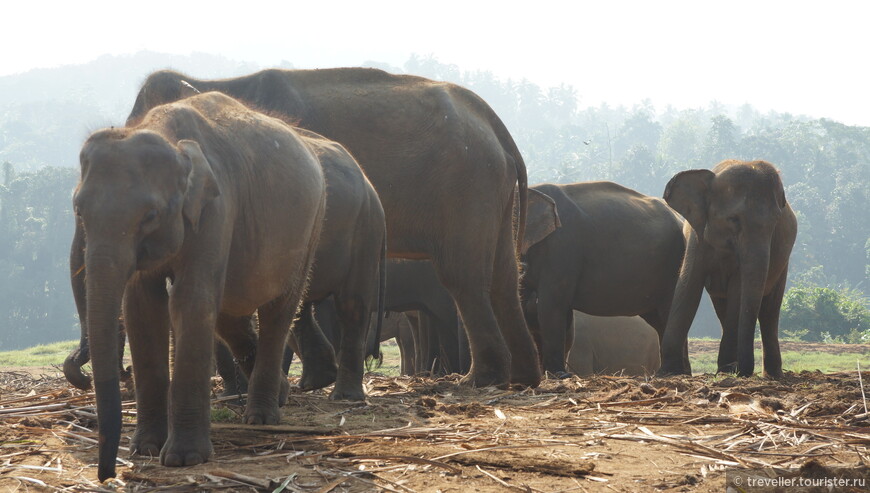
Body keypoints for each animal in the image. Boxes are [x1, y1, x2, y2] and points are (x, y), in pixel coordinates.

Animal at [73, 90, 328, 478]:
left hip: (310, 229)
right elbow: (142, 310)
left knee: (278, 311)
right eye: (78, 209)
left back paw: (262, 417)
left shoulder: (217, 210)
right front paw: (144, 449)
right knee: (228, 314)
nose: (107, 473)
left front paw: (184, 458)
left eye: (150, 216)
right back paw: (281, 395)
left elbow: (189, 301)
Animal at [125, 67, 540, 386]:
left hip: (467, 187)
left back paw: (479, 380)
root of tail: (496, 125)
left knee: (463, 276)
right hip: (493, 190)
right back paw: (522, 379)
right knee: (504, 277)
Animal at [520, 183, 692, 374]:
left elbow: (552, 306)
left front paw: (558, 374)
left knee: (668, 313)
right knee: (659, 320)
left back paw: (673, 372)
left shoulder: (561, 247)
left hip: (673, 265)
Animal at [660, 160, 796, 374]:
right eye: (734, 219)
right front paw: (667, 372)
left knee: (769, 311)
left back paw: (772, 374)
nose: (742, 370)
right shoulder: (697, 238)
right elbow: (688, 285)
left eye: (775, 223)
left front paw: (726, 370)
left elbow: (737, 291)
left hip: (783, 264)